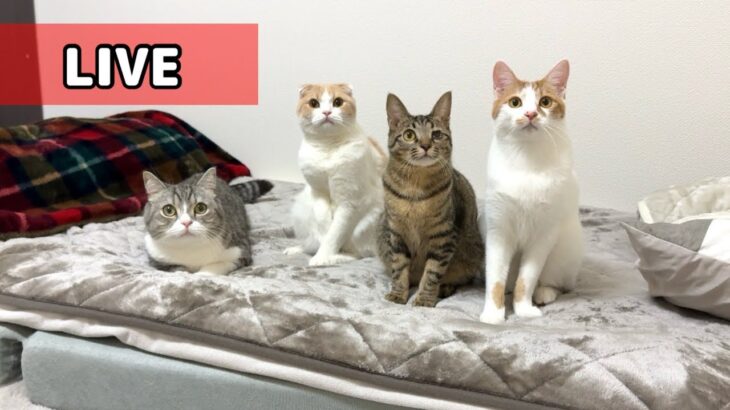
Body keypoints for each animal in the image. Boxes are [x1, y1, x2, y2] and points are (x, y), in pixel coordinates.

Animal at [143, 167, 273, 275]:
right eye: (168, 210)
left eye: (201, 208)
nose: (186, 222)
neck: (190, 249)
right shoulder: (157, 259)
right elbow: (178, 270)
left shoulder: (240, 250)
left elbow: (217, 265)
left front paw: (201, 275)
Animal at [284, 83, 387, 266]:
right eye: (314, 103)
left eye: (338, 102)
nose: (326, 112)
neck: (327, 146)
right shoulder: (318, 193)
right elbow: (324, 226)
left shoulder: (349, 202)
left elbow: (335, 234)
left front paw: (322, 257)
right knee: (310, 243)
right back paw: (296, 249)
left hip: (366, 227)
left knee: (359, 254)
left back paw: (332, 259)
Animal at [378, 91, 484, 307]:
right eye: (409, 135)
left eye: (436, 135)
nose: (426, 145)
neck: (415, 187)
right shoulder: (396, 234)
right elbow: (399, 269)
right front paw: (398, 294)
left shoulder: (443, 236)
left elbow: (432, 272)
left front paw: (425, 298)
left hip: (472, 252)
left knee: (461, 279)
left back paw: (444, 288)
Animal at [479, 60, 584, 324]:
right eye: (515, 102)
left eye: (545, 102)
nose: (530, 114)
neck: (526, 158)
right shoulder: (498, 229)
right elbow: (495, 278)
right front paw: (493, 314)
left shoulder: (544, 233)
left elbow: (527, 279)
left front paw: (523, 309)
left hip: (567, 250)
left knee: (561, 283)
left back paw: (545, 292)